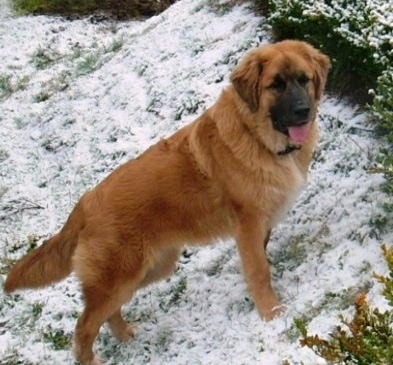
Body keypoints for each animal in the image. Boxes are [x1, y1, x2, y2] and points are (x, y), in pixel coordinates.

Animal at [5, 40, 330, 364]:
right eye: (276, 85)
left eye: (304, 79)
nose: (303, 111)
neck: (257, 137)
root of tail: (84, 203)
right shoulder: (248, 227)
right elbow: (259, 272)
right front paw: (272, 313)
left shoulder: (259, 229)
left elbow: (259, 263)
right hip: (120, 278)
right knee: (84, 325)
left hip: (149, 270)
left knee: (107, 313)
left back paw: (126, 335)